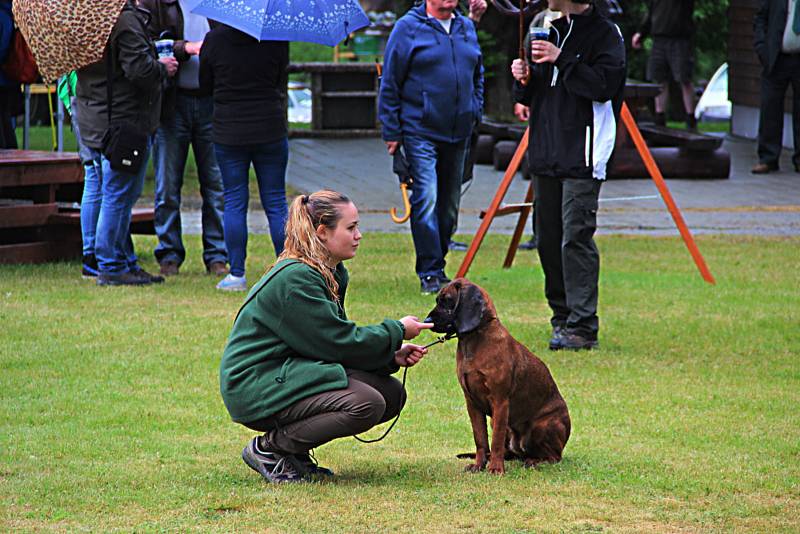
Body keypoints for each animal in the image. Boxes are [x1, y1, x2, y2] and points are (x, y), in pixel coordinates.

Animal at [424, 278, 568, 476]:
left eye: (447, 300)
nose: (426, 320)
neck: (475, 340)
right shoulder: (472, 404)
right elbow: (481, 440)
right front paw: (479, 465)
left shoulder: (500, 402)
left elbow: (496, 441)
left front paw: (495, 469)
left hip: (541, 427)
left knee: (553, 457)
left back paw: (533, 461)